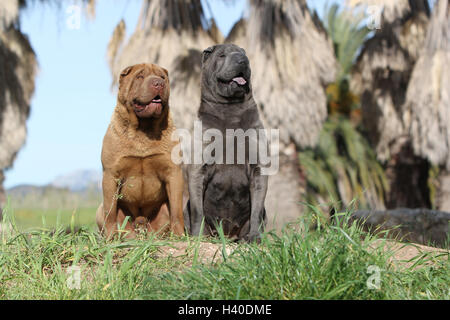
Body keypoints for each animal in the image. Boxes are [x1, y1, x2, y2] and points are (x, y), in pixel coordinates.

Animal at [96, 63, 185, 238]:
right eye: (140, 76)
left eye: (162, 77)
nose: (158, 83)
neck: (143, 129)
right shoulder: (110, 175)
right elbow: (111, 212)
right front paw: (110, 238)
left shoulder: (173, 173)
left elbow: (177, 211)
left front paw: (180, 236)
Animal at [182, 43, 268, 242]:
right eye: (221, 55)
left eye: (244, 54)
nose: (242, 60)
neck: (231, 111)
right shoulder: (198, 168)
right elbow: (198, 211)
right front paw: (198, 237)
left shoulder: (258, 168)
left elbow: (256, 210)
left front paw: (254, 236)